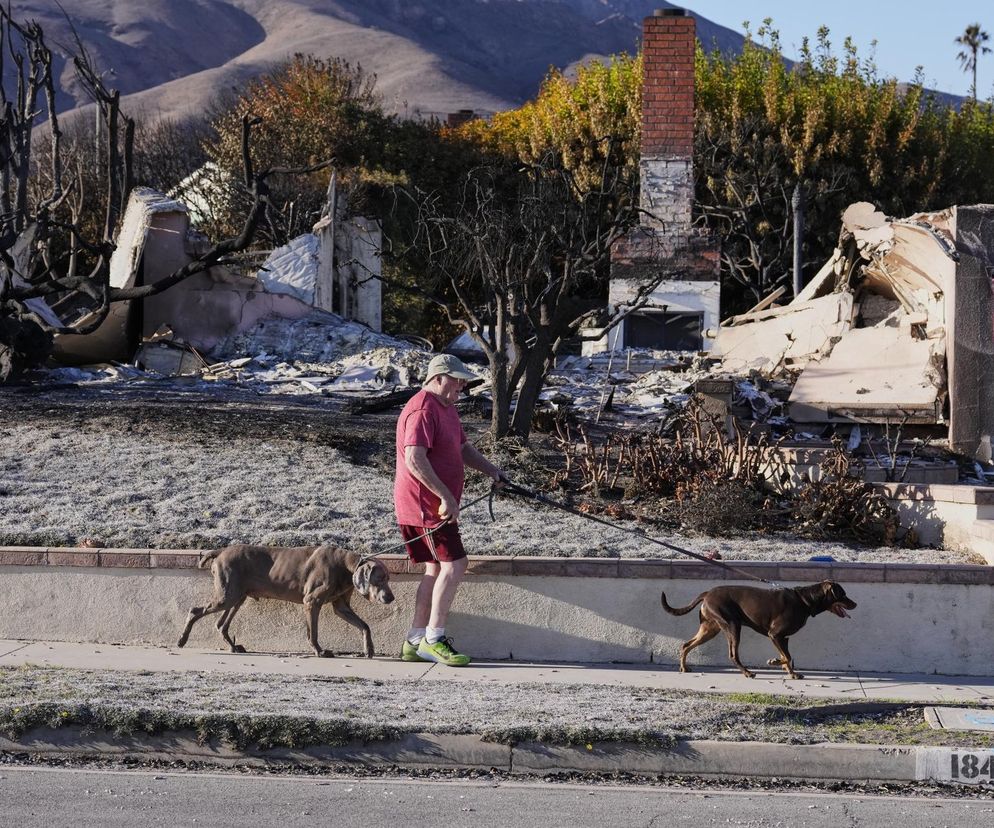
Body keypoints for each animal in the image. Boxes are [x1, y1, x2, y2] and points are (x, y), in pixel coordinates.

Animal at [176, 544, 394, 660]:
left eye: (388, 578)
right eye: (380, 578)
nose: (391, 598)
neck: (345, 566)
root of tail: (220, 551)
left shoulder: (341, 607)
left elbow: (364, 625)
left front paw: (369, 649)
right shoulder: (311, 601)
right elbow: (313, 633)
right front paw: (319, 651)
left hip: (237, 597)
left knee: (221, 624)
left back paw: (234, 647)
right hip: (226, 596)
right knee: (195, 610)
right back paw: (182, 640)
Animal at [660, 584, 852, 680]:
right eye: (842, 594)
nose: (855, 604)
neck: (804, 600)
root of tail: (707, 594)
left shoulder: (783, 638)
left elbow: (787, 657)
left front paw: (791, 673)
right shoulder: (775, 634)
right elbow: (787, 657)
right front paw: (774, 662)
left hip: (710, 629)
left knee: (686, 645)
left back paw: (684, 667)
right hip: (732, 626)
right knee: (732, 654)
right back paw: (747, 673)